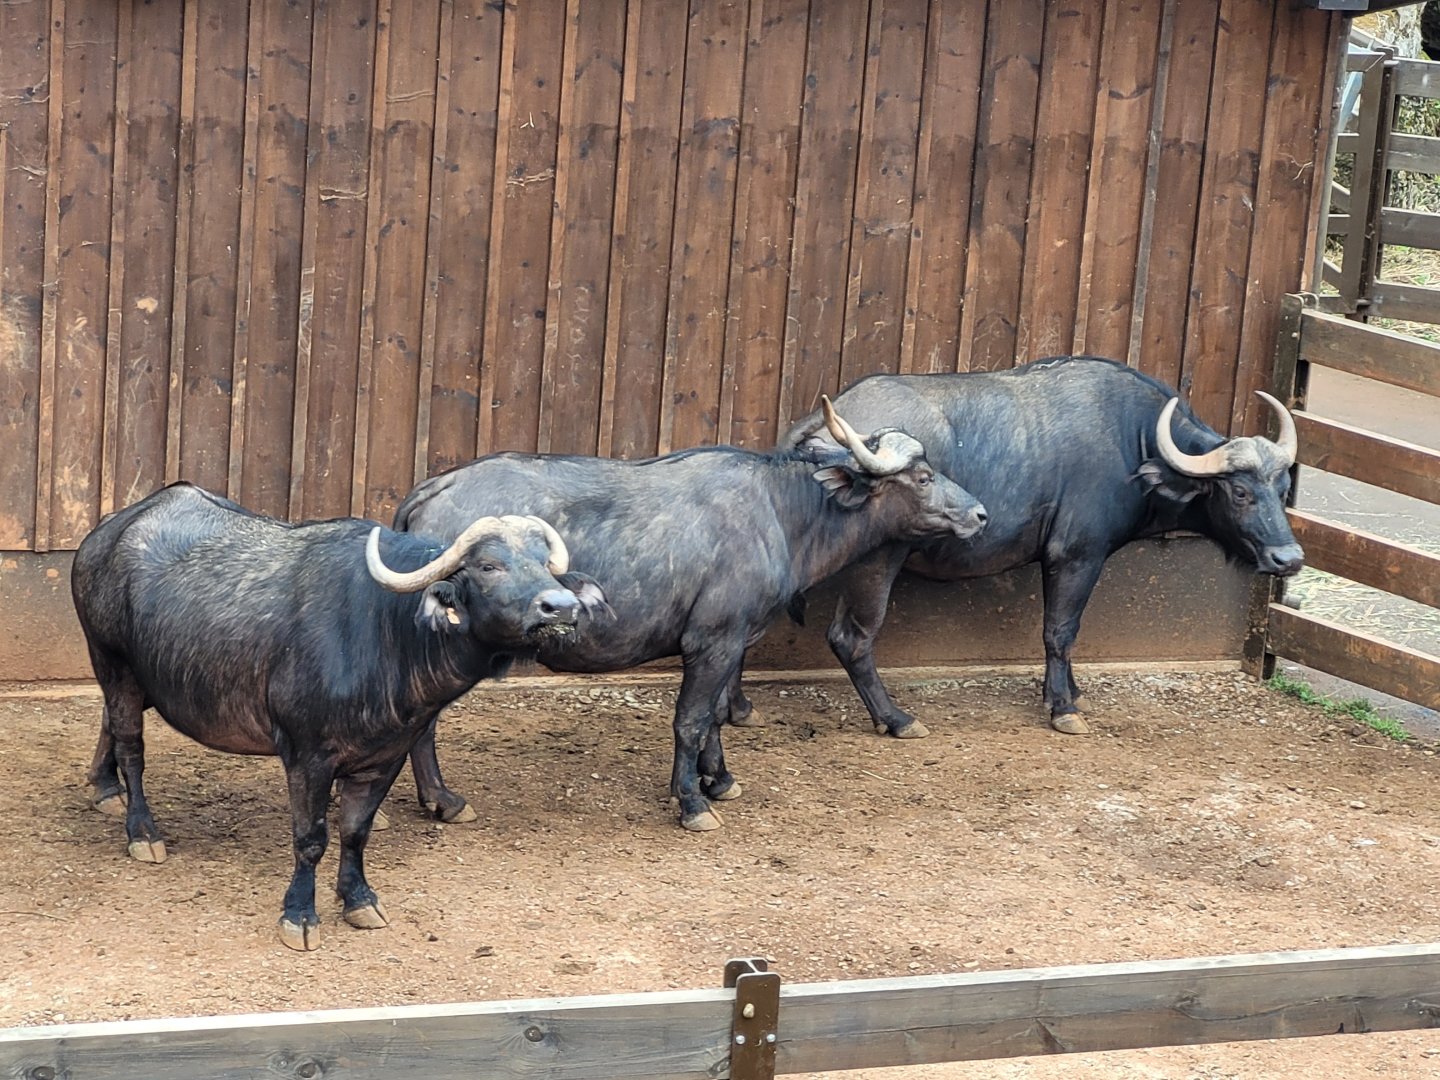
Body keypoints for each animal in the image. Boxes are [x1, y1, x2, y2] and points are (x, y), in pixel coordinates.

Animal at [71, 482, 604, 950]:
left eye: (545, 565)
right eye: (489, 565)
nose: (560, 608)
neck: (389, 631)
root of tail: (104, 535)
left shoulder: (385, 756)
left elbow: (355, 831)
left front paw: (359, 900)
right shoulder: (308, 756)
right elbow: (311, 838)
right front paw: (300, 915)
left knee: (108, 723)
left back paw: (105, 789)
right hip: (112, 662)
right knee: (131, 746)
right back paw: (142, 831)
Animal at [391, 399, 988, 832]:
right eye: (924, 478)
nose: (981, 514)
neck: (779, 512)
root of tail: (434, 487)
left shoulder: (733, 641)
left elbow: (719, 714)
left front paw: (718, 780)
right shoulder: (712, 641)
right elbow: (691, 720)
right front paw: (691, 802)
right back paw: (443, 799)